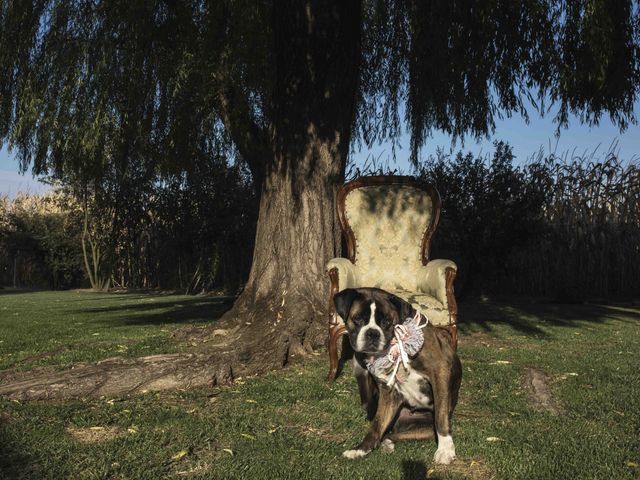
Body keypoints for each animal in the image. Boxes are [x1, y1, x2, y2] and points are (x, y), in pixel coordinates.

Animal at [332, 286, 462, 464]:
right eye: (357, 318)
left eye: (387, 321)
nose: (372, 333)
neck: (395, 343)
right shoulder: (388, 392)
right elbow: (377, 425)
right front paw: (360, 449)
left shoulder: (439, 370)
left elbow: (441, 418)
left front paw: (445, 450)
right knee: (390, 431)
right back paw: (385, 442)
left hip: (427, 425)